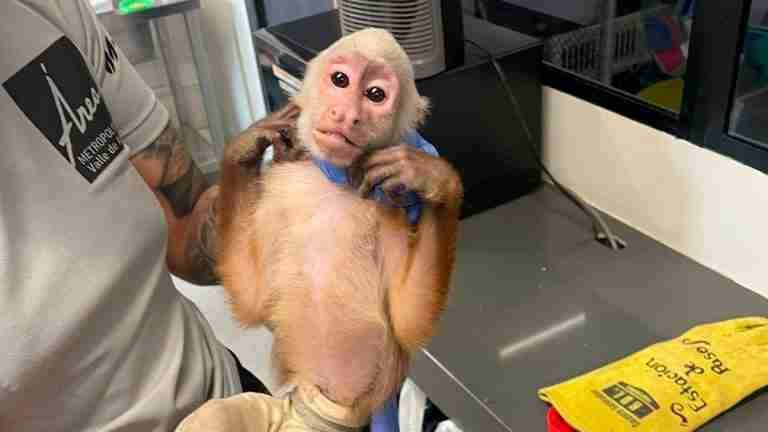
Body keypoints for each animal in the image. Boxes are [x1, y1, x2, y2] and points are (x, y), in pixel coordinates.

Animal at [180, 28, 463, 431]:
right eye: (340, 80)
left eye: (375, 94)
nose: (346, 115)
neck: (335, 182)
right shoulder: (279, 194)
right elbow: (252, 300)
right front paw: (246, 146)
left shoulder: (390, 206)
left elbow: (410, 320)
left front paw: (433, 178)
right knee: (218, 415)